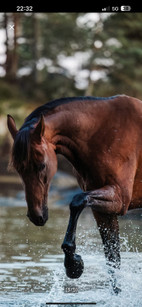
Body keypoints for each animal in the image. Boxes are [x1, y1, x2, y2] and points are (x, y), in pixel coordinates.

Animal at [7, 95, 142, 294]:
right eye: (17, 168)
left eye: (41, 165)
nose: (36, 216)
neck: (104, 131)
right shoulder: (105, 211)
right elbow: (113, 261)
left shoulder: (120, 198)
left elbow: (77, 201)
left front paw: (73, 264)